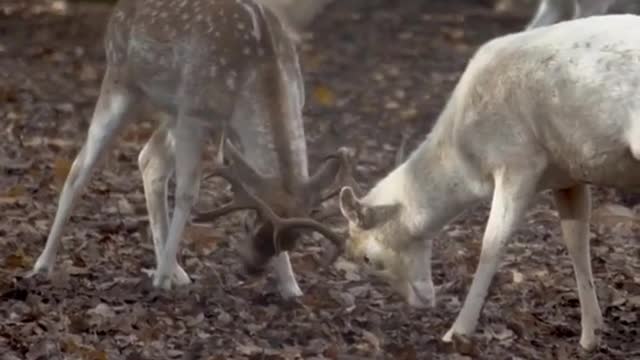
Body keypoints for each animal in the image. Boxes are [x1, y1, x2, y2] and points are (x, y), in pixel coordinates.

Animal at [28, 0, 356, 296]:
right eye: (247, 224)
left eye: (290, 242)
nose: (252, 268)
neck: (261, 71)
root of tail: (117, 12)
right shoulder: (194, 114)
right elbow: (187, 192)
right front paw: (160, 279)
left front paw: (291, 287)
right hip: (122, 84)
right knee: (80, 166)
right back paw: (43, 265)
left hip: (171, 110)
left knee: (149, 159)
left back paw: (176, 270)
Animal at [338, 14, 640, 352]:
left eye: (368, 258)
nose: (422, 302)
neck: (466, 158)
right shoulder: (569, 174)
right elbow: (576, 241)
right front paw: (590, 336)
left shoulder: (517, 162)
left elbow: (492, 244)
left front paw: (457, 332)